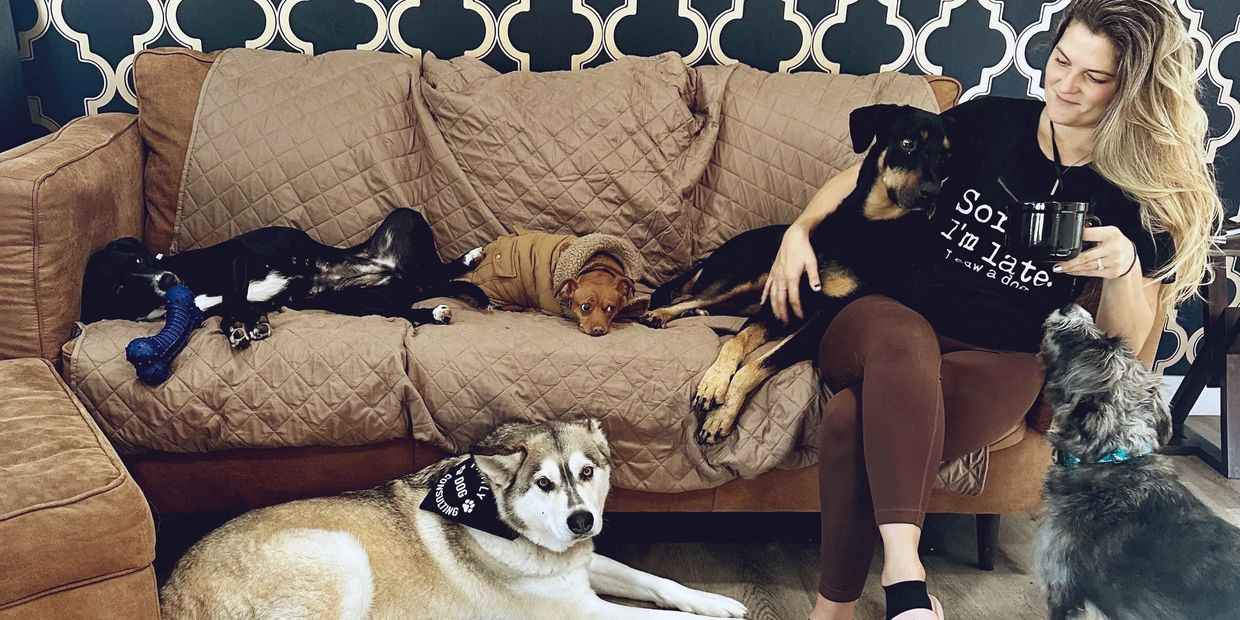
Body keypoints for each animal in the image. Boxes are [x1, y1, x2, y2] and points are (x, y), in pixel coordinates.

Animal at [81, 205, 488, 347]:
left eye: (138, 259)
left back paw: (469, 258)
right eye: (119, 287)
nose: (165, 281)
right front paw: (241, 328)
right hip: (360, 302)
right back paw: (435, 311)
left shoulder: (236, 258)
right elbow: (231, 309)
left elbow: (235, 297)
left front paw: (248, 324)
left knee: (438, 271)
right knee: (412, 306)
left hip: (406, 218)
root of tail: (394, 273)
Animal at [161, 419, 748, 617]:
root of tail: (170, 592)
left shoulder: (581, 563)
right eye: (543, 483)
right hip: (340, 556)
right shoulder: (581, 611)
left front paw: (715, 601)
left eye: (586, 472)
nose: (582, 521)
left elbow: (656, 580)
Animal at [639, 104, 947, 443]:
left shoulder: (818, 324)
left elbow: (756, 364)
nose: (933, 194)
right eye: (909, 143)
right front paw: (715, 382)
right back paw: (659, 314)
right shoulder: (776, 307)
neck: (862, 228)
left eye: (946, 158)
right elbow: (736, 343)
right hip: (739, 276)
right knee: (686, 297)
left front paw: (723, 413)